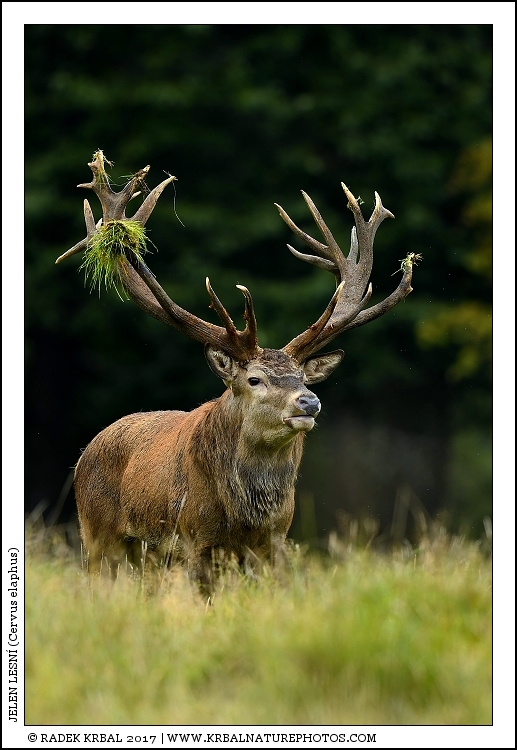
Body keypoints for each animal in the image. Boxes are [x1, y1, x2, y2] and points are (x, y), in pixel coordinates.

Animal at [55, 151, 415, 591]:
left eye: (303, 377)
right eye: (254, 379)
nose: (309, 401)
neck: (245, 519)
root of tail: (83, 455)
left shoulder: (275, 540)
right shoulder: (194, 538)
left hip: (144, 559)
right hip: (96, 536)